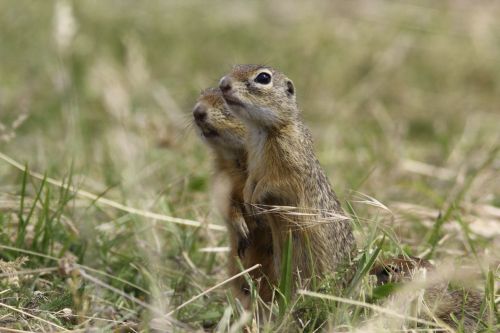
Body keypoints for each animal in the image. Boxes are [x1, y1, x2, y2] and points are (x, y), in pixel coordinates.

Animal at [193, 88, 276, 304]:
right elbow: (227, 205)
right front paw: (241, 227)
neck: (237, 158)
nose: (197, 111)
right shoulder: (221, 180)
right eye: (201, 93)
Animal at [219, 63, 356, 290]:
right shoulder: (254, 166)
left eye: (263, 78)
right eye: (234, 67)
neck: (263, 130)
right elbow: (250, 182)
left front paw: (255, 202)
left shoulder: (289, 169)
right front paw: (248, 201)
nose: (223, 84)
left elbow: (273, 184)